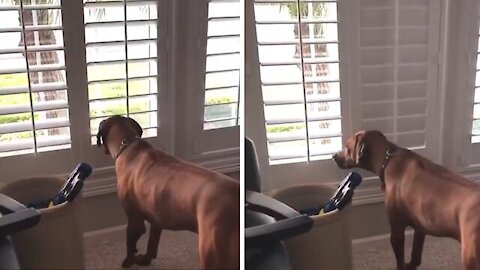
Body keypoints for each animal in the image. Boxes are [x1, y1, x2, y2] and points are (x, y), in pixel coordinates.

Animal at [95, 115, 240, 268]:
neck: (128, 144)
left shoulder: (135, 221)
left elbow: (130, 244)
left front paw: (128, 261)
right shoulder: (156, 220)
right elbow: (151, 244)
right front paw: (145, 260)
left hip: (212, 255)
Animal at [336, 130, 480, 268]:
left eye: (347, 147)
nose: (333, 156)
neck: (387, 159)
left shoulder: (397, 231)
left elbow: (400, 261)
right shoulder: (420, 228)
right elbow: (416, 255)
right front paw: (411, 265)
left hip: (469, 258)